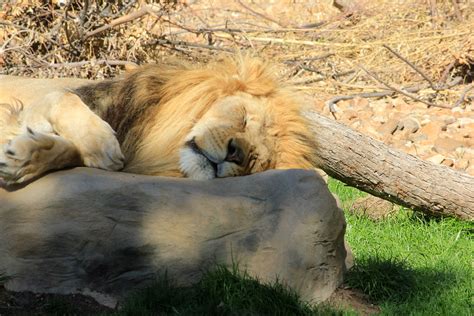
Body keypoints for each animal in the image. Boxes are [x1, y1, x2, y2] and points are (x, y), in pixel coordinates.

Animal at [0, 55, 318, 184]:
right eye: (243, 119)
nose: (236, 153)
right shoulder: (31, 105)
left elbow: (68, 151)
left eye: (255, 160)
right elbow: (63, 98)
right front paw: (102, 144)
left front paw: (23, 159)